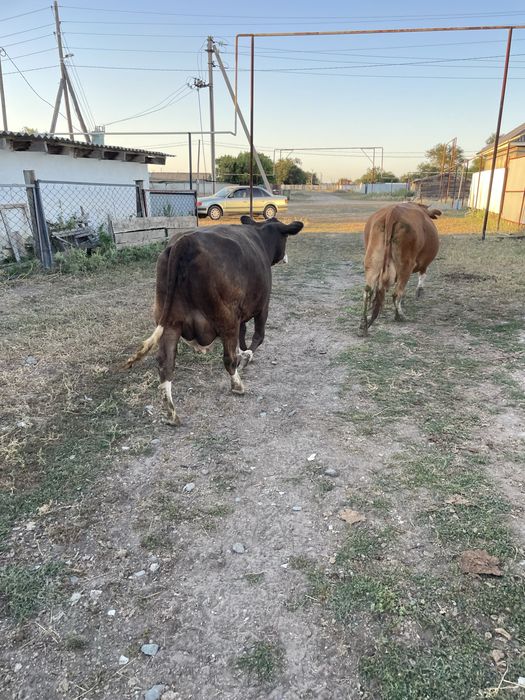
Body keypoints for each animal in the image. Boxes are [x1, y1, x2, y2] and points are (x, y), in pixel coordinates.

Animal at [125, 216, 304, 425]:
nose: (285, 257)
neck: (260, 236)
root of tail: (185, 242)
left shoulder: (241, 313)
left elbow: (242, 336)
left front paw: (243, 352)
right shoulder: (262, 306)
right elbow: (257, 337)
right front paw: (246, 357)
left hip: (169, 321)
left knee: (165, 363)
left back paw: (171, 413)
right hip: (225, 317)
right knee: (228, 358)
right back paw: (237, 385)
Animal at [360, 202, 441, 335]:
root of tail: (392, 212)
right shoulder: (423, 263)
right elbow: (422, 275)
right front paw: (419, 291)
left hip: (372, 262)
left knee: (368, 291)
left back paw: (363, 323)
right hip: (405, 265)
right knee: (397, 293)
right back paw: (400, 316)